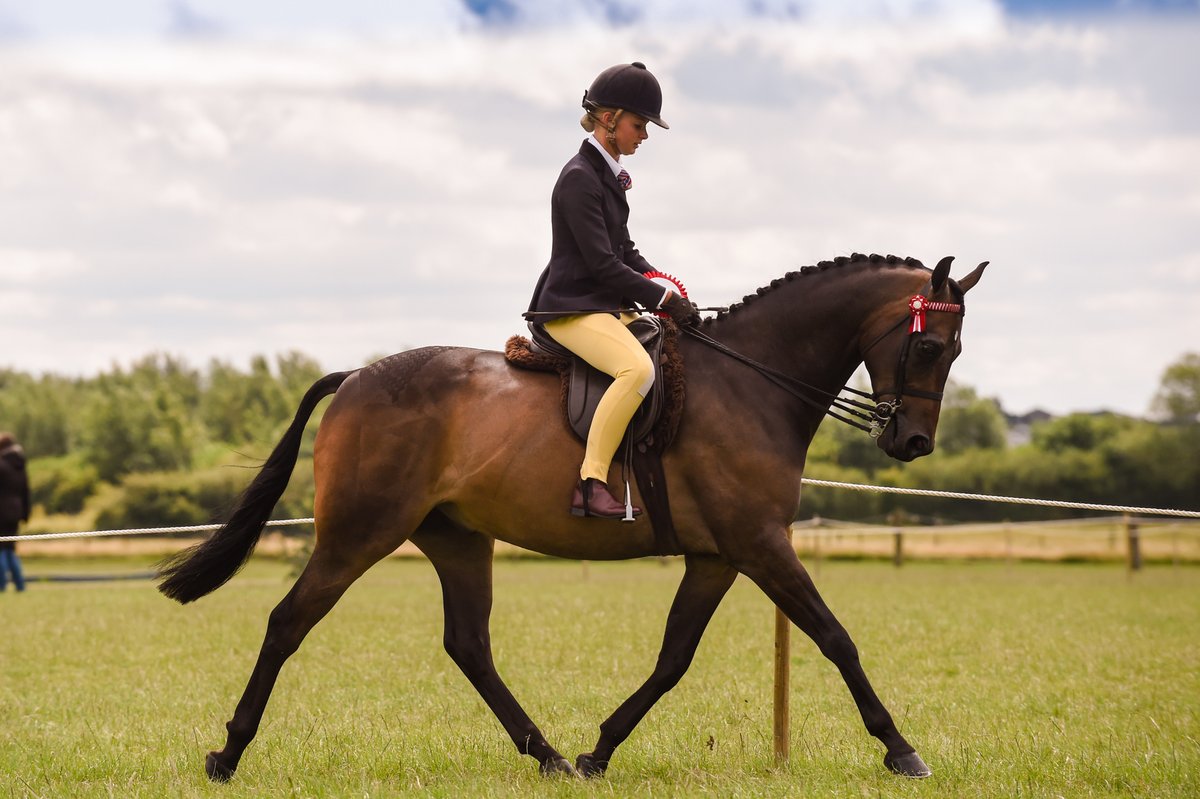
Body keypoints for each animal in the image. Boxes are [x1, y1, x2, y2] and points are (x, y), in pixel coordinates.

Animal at [157, 252, 987, 782]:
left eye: (955, 349)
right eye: (928, 344)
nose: (912, 442)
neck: (753, 381)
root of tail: (356, 375)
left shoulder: (719, 554)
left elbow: (673, 657)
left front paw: (599, 751)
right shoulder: (759, 544)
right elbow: (836, 637)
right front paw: (902, 749)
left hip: (457, 538)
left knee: (469, 645)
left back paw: (550, 754)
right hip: (360, 533)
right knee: (288, 622)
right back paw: (227, 754)